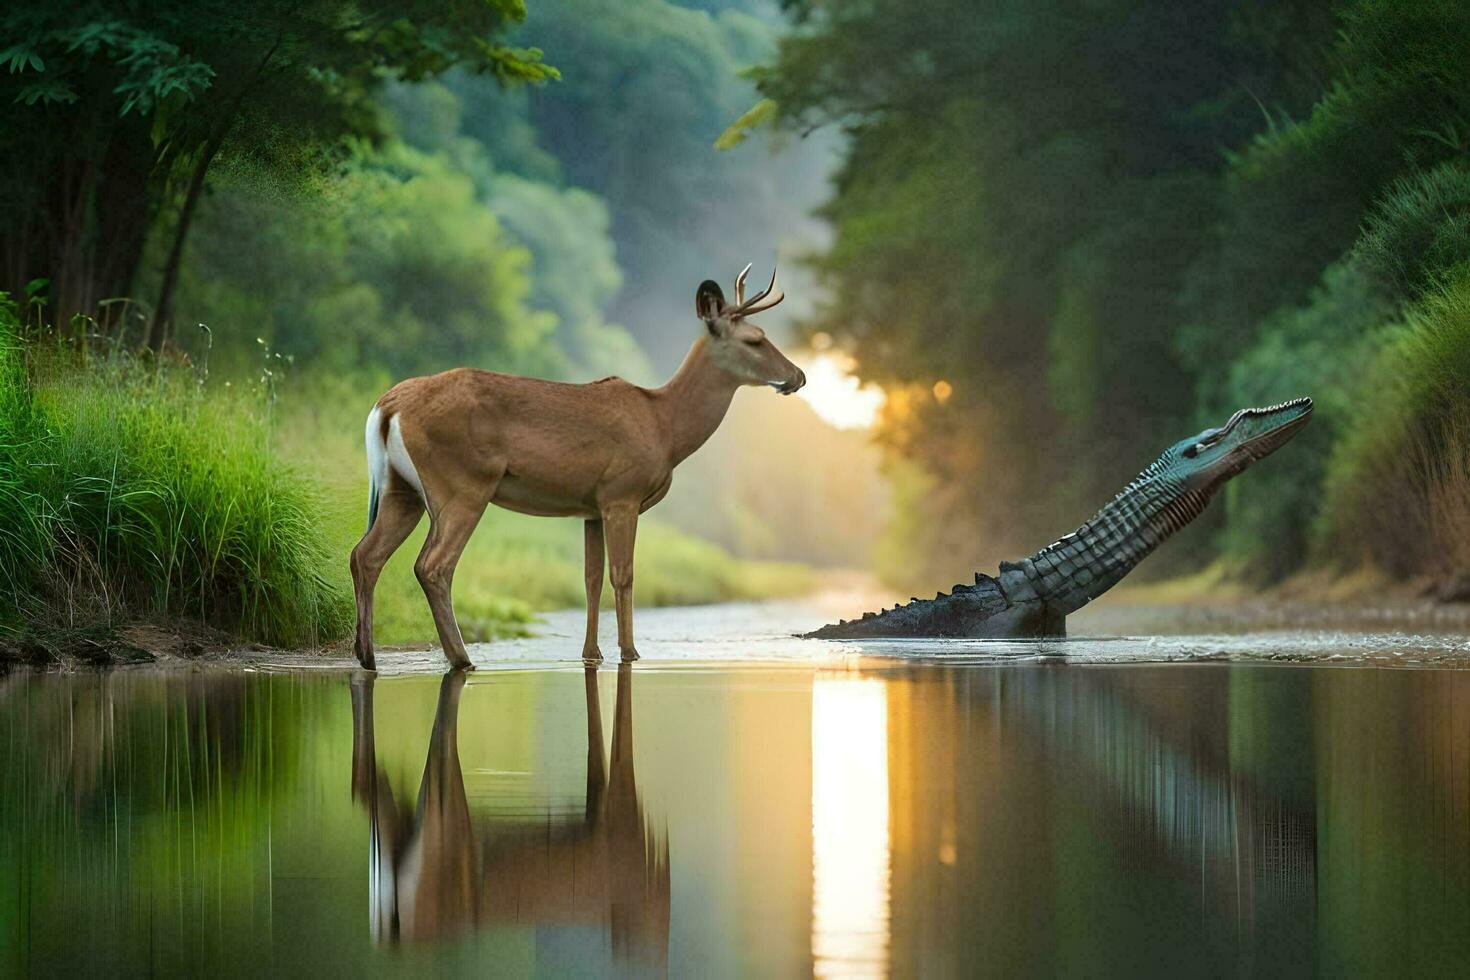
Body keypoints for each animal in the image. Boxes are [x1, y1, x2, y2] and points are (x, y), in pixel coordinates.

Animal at [346, 264, 805, 669]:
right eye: (755, 339)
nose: (798, 376)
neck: (666, 427)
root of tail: (387, 406)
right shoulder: (622, 493)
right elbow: (623, 574)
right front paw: (630, 653)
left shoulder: (590, 507)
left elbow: (590, 579)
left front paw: (591, 654)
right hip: (462, 483)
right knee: (433, 565)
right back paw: (461, 659)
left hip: (401, 489)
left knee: (364, 554)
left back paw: (367, 655)